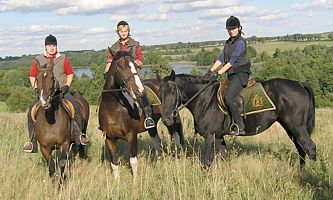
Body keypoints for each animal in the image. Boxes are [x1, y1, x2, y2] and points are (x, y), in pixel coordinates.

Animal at [98, 50, 184, 180]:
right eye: (122, 67)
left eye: (135, 65)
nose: (139, 91)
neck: (113, 109)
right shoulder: (109, 138)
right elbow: (114, 163)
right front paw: (117, 182)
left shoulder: (131, 137)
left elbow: (133, 161)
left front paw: (135, 182)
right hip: (152, 127)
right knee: (158, 144)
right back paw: (156, 164)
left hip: (170, 120)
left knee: (176, 138)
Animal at [157, 70, 316, 169]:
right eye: (160, 92)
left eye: (173, 91)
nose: (167, 119)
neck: (205, 99)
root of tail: (300, 84)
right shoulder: (218, 137)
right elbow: (226, 158)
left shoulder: (210, 136)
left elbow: (207, 162)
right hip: (290, 128)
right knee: (301, 149)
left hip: (297, 127)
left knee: (310, 148)